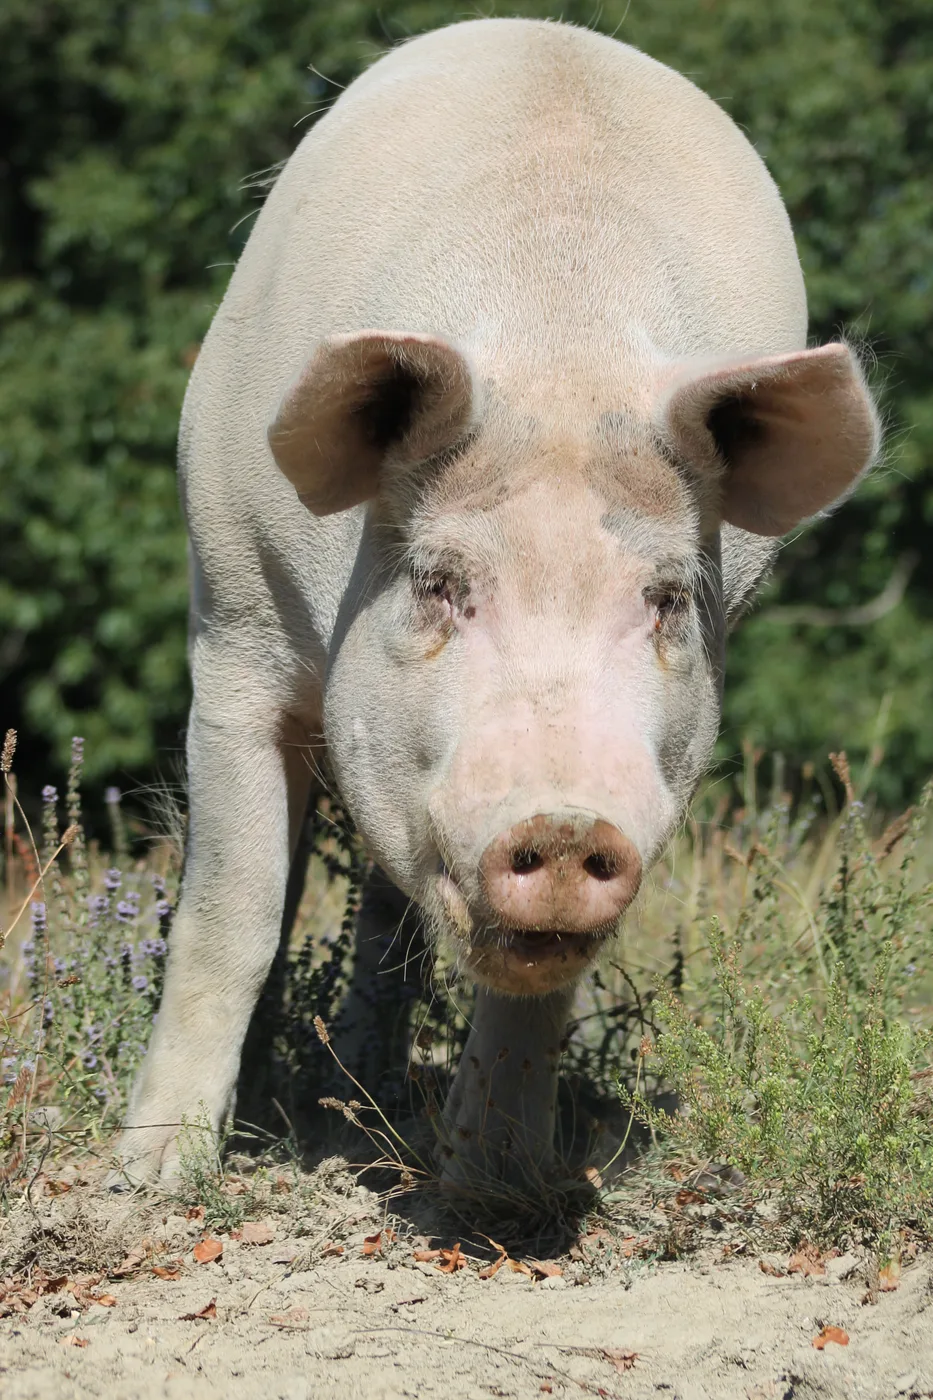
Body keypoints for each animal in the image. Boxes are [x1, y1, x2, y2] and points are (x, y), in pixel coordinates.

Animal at [113, 18, 878, 1191]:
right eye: (439, 583)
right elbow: (230, 907)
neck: (559, 355)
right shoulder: (232, 625)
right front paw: (151, 1178)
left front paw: (500, 1188)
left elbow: (535, 993)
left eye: (666, 599)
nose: (562, 823)